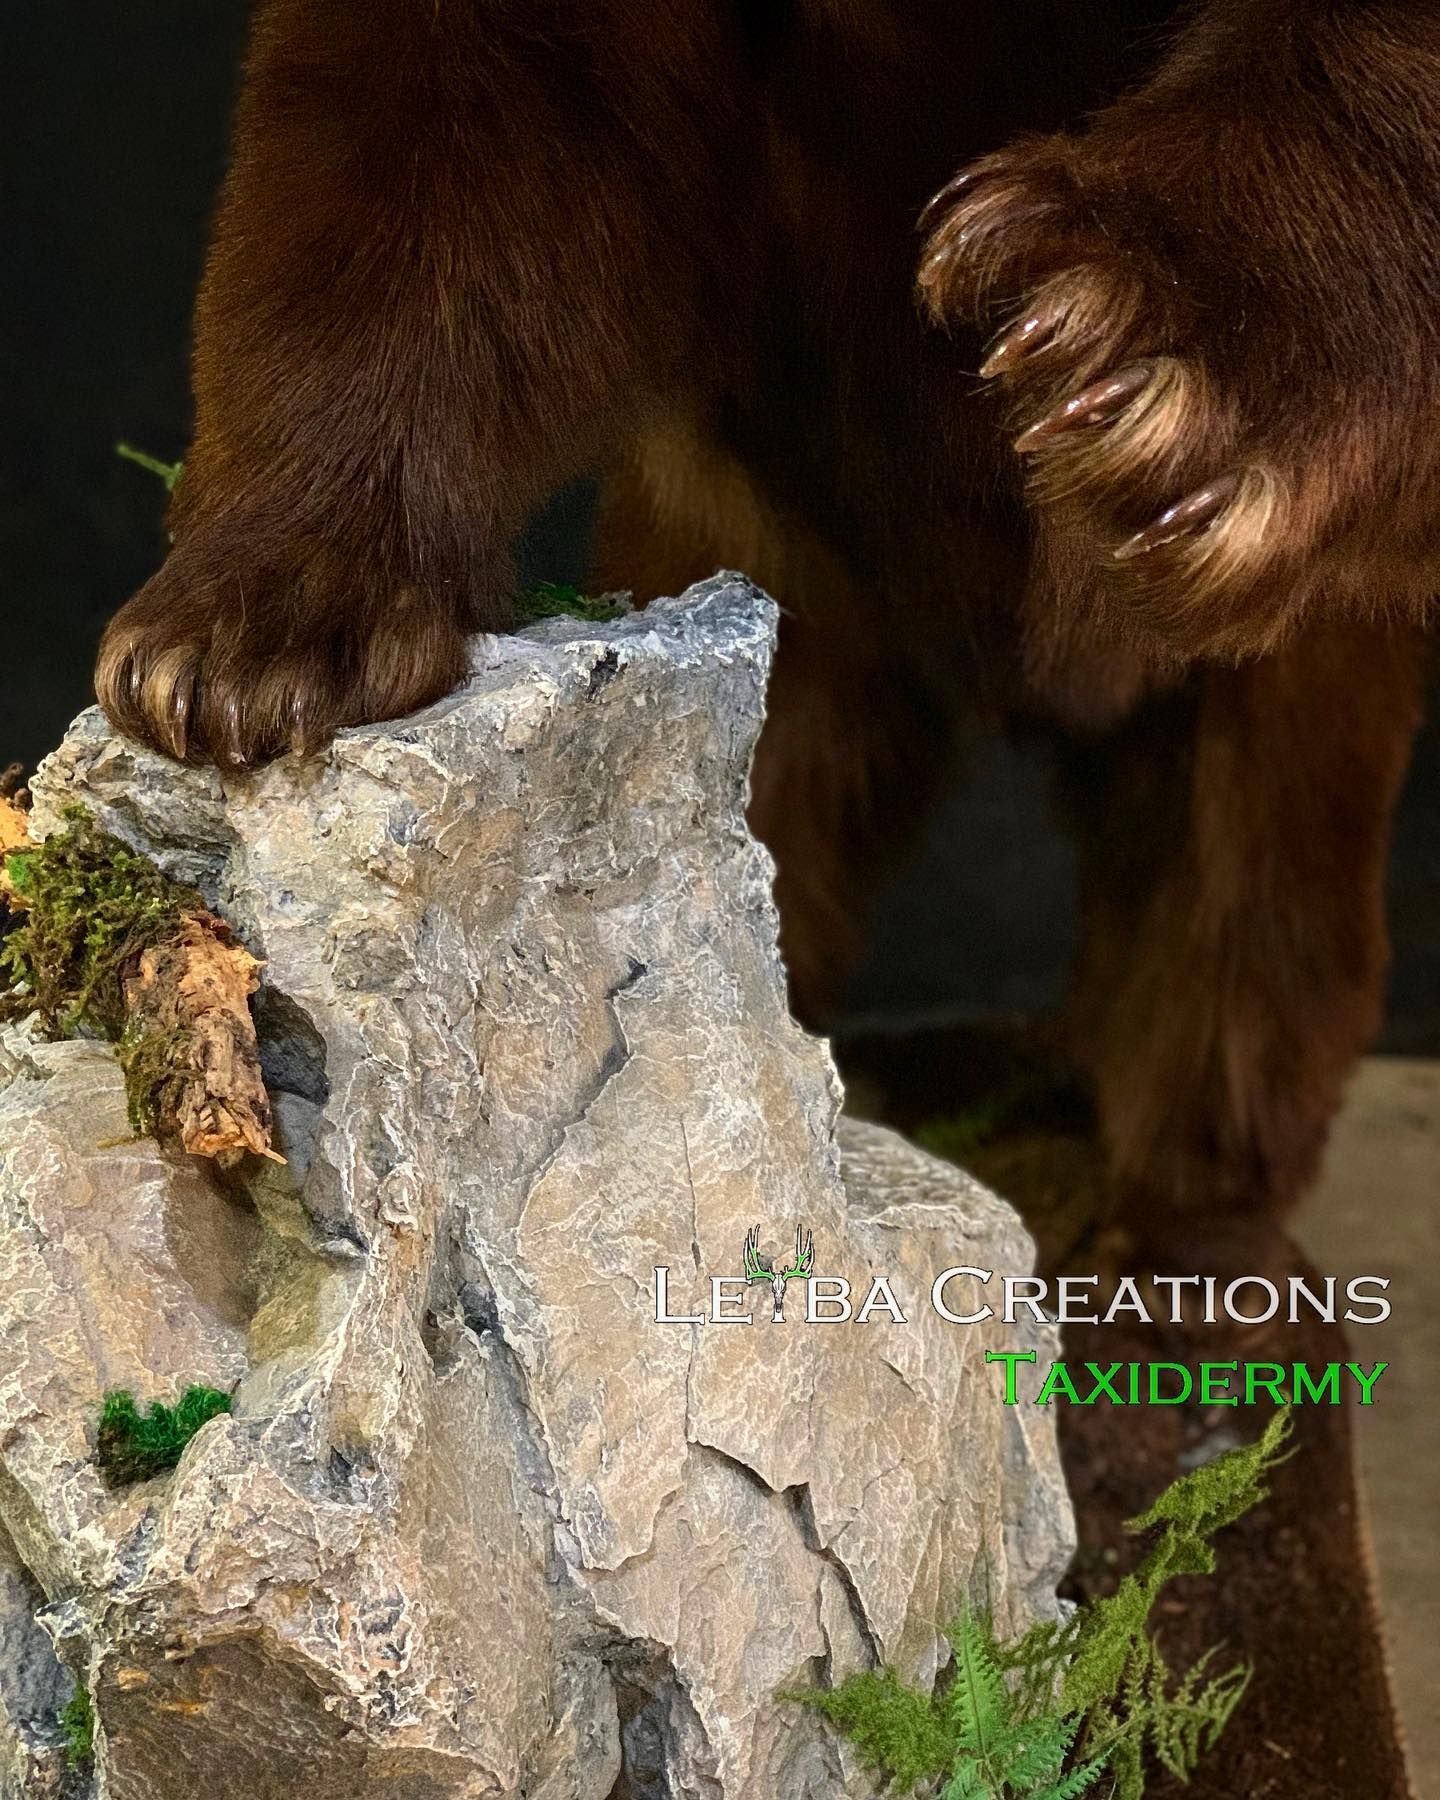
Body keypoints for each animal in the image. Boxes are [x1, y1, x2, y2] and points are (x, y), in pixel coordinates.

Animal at [94, 0, 1435, 1255]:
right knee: (775, 804)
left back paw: (1180, 1240)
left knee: (1251, 869)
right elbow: (445, 120)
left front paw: (1124, 343)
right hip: (763, 556)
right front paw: (248, 643)